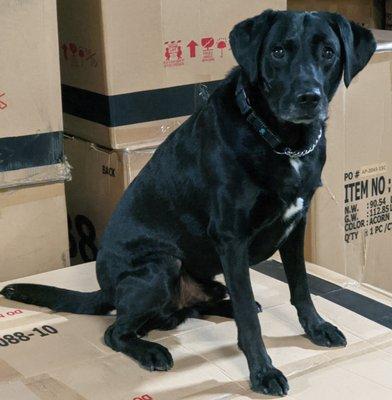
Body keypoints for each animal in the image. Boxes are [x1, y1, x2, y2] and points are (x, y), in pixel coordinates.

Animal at [1, 9, 376, 396]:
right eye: (277, 52)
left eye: (328, 53)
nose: (308, 97)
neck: (282, 142)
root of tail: (107, 290)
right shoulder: (232, 238)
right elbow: (249, 318)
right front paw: (263, 371)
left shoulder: (296, 226)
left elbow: (300, 287)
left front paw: (317, 328)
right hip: (161, 266)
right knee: (116, 331)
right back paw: (151, 350)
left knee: (196, 308)